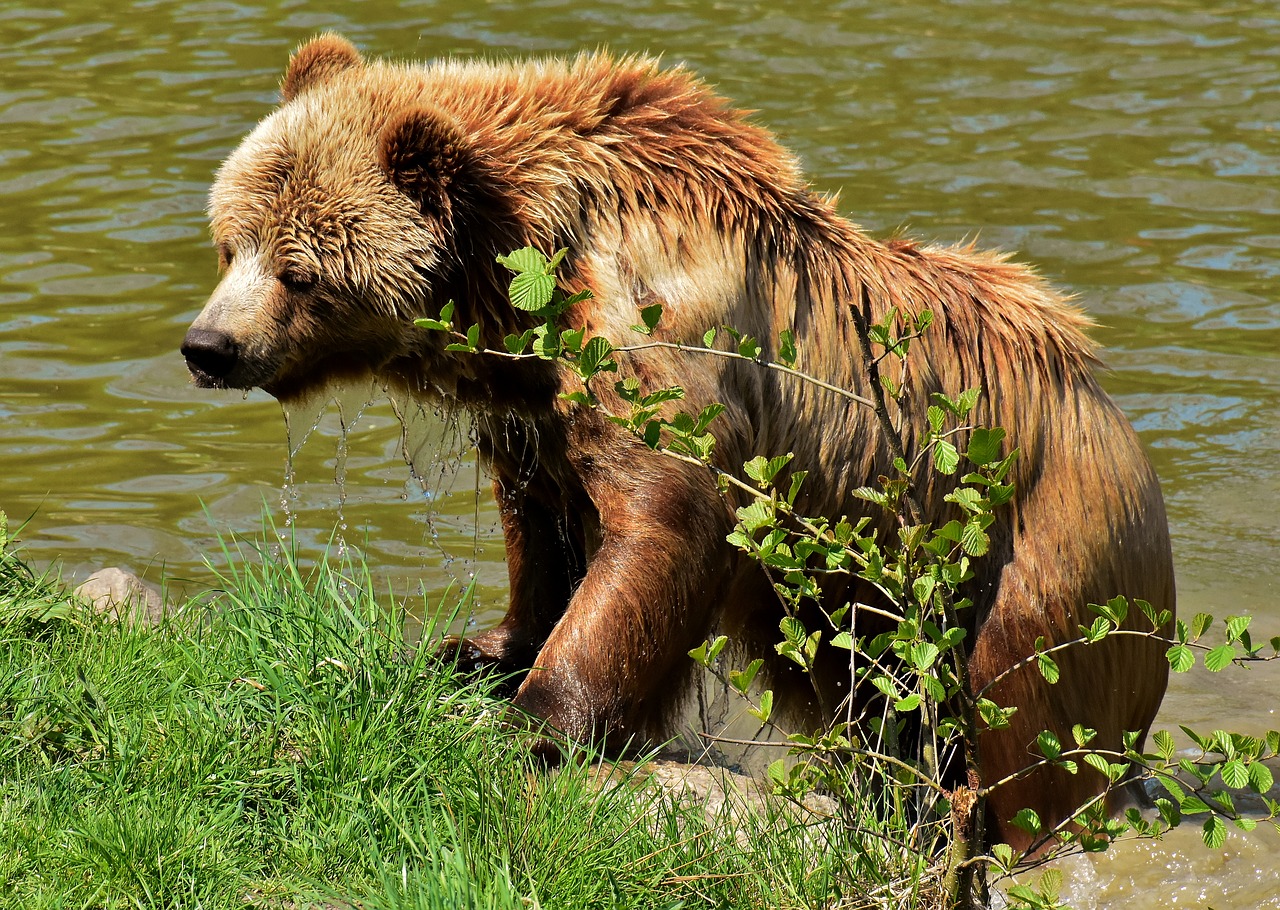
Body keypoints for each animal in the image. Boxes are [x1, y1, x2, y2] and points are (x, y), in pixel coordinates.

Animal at [180, 33, 1172, 844]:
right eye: (232, 243)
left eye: (302, 271)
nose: (208, 346)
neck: (524, 264)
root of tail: (1110, 414)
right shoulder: (532, 397)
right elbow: (542, 520)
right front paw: (481, 651)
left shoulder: (650, 329)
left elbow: (664, 514)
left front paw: (534, 719)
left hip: (1042, 548)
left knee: (1033, 726)